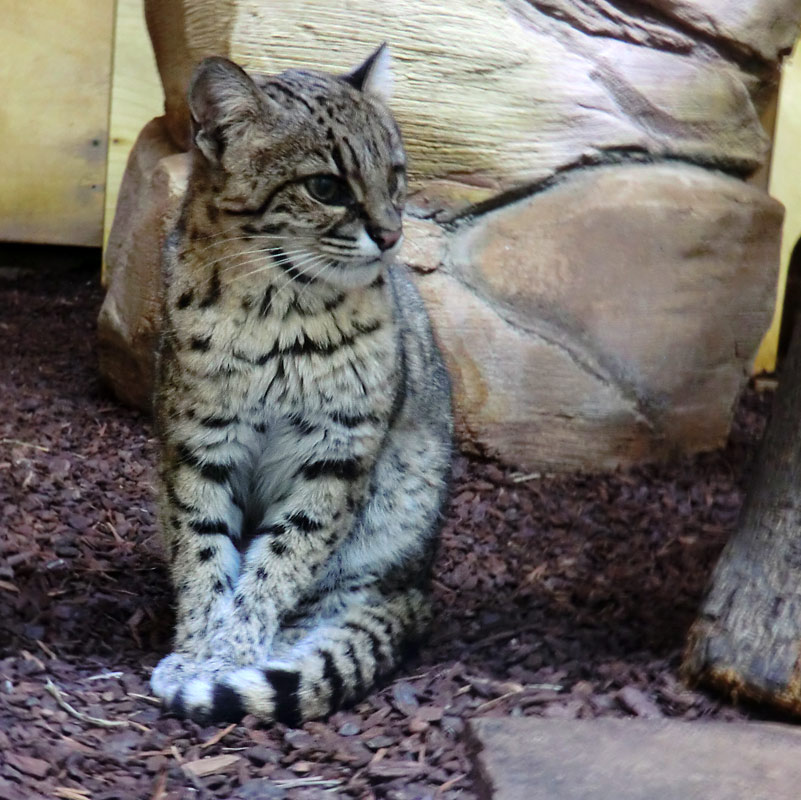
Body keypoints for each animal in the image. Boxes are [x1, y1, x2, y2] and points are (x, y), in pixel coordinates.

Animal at [148, 47, 454, 728]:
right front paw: (200, 651)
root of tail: (421, 587)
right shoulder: (199, 443)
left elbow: (282, 561)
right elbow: (202, 551)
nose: (392, 235)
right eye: (326, 187)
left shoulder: (337, 455)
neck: (275, 314)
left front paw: (228, 658)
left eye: (395, 175)